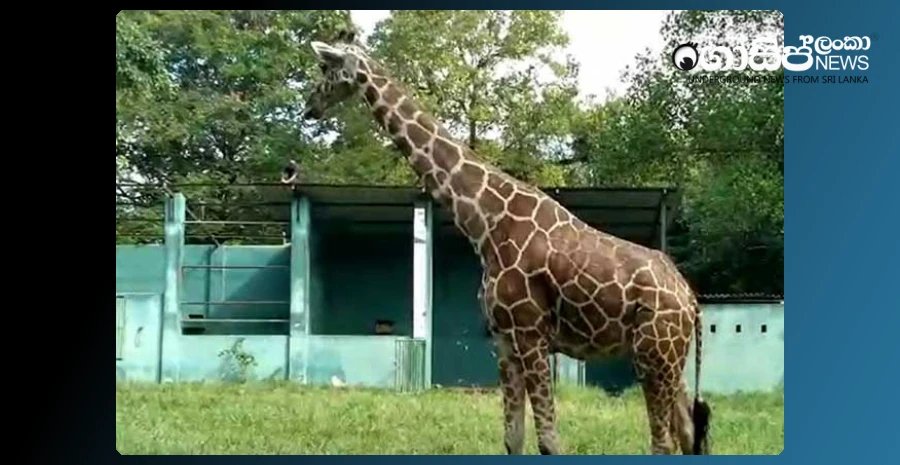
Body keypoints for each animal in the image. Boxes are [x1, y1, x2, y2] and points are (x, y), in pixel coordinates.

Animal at [294, 30, 712, 455]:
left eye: (325, 67)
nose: (309, 107)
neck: (486, 223)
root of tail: (691, 300)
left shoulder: (531, 334)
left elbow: (549, 440)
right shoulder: (505, 341)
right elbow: (513, 437)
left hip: (654, 354)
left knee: (664, 442)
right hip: (669, 358)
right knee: (689, 432)